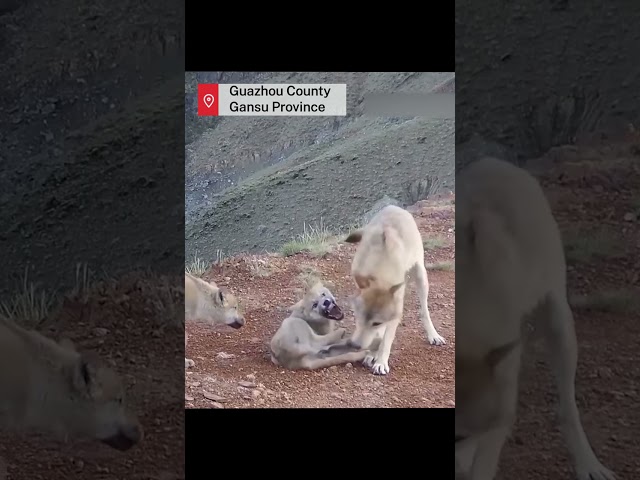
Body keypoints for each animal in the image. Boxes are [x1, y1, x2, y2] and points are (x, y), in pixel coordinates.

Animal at [341, 205, 446, 375]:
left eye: (376, 322)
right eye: (358, 317)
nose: (355, 346)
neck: (379, 269)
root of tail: (393, 206)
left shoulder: (395, 313)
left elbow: (385, 339)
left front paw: (380, 362)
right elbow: (377, 336)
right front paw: (371, 354)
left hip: (421, 275)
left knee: (424, 310)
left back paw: (433, 335)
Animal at [455, 157, 614, 480]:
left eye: (458, 435)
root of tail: (493, 161)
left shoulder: (500, 410)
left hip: (559, 323)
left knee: (568, 409)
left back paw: (589, 465)